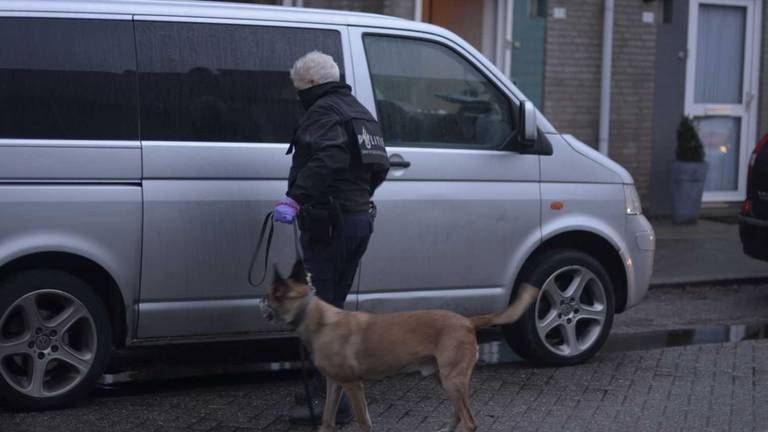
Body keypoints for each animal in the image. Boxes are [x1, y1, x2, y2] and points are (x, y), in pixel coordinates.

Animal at [264, 260, 540, 432]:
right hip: (445, 379)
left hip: (452, 379)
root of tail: (467, 321)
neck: (316, 317)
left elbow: (363, 422)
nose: (262, 306)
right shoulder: (335, 384)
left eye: (270, 296)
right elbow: (326, 421)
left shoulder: (353, 385)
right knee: (459, 414)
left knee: (470, 421)